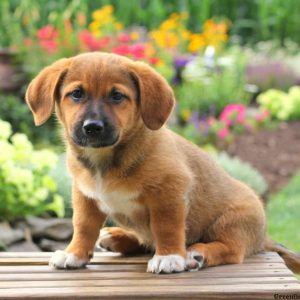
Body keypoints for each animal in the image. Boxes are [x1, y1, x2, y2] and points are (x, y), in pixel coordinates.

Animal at [25, 52, 300, 274]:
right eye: (76, 94)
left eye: (117, 96)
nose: (92, 127)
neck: (107, 159)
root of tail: (264, 238)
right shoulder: (85, 195)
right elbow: (83, 226)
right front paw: (74, 254)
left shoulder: (169, 193)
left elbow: (166, 227)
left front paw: (169, 257)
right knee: (144, 239)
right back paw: (117, 237)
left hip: (232, 222)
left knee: (232, 250)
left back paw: (197, 253)